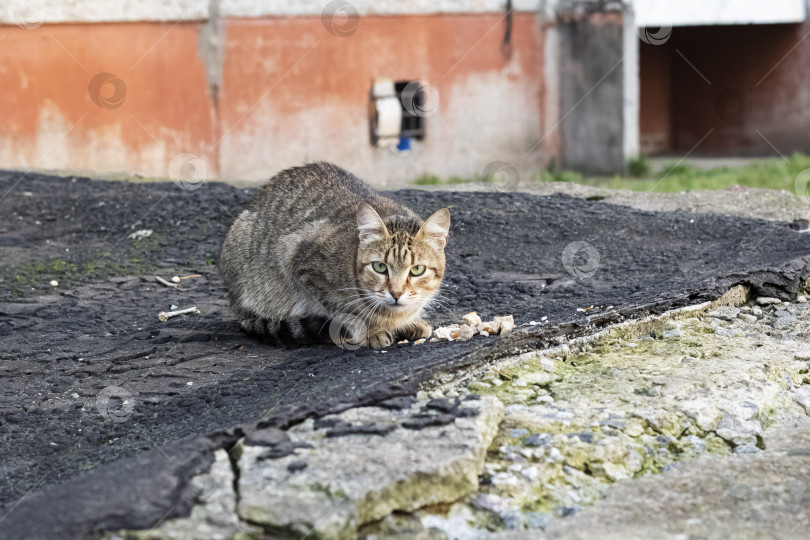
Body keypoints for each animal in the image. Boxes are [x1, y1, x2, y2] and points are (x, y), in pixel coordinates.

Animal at [218, 162, 452, 350]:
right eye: (379, 267)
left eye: (417, 270)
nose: (396, 293)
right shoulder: (298, 260)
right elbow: (345, 309)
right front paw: (372, 330)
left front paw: (410, 322)